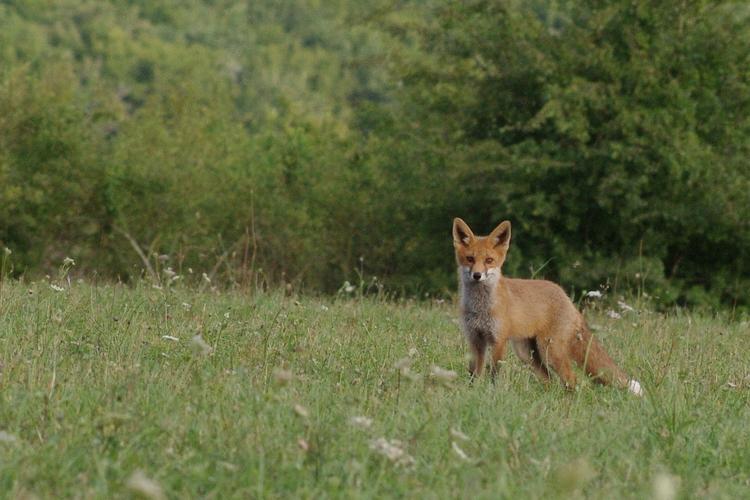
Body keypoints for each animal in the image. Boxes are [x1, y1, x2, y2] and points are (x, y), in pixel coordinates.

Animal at [456, 218, 644, 394]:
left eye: (489, 260)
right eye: (470, 259)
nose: (477, 275)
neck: (480, 307)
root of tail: (567, 297)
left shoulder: (498, 340)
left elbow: (494, 375)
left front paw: (492, 395)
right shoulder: (475, 340)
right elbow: (473, 374)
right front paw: (471, 394)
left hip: (550, 350)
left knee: (571, 379)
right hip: (527, 353)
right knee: (550, 381)